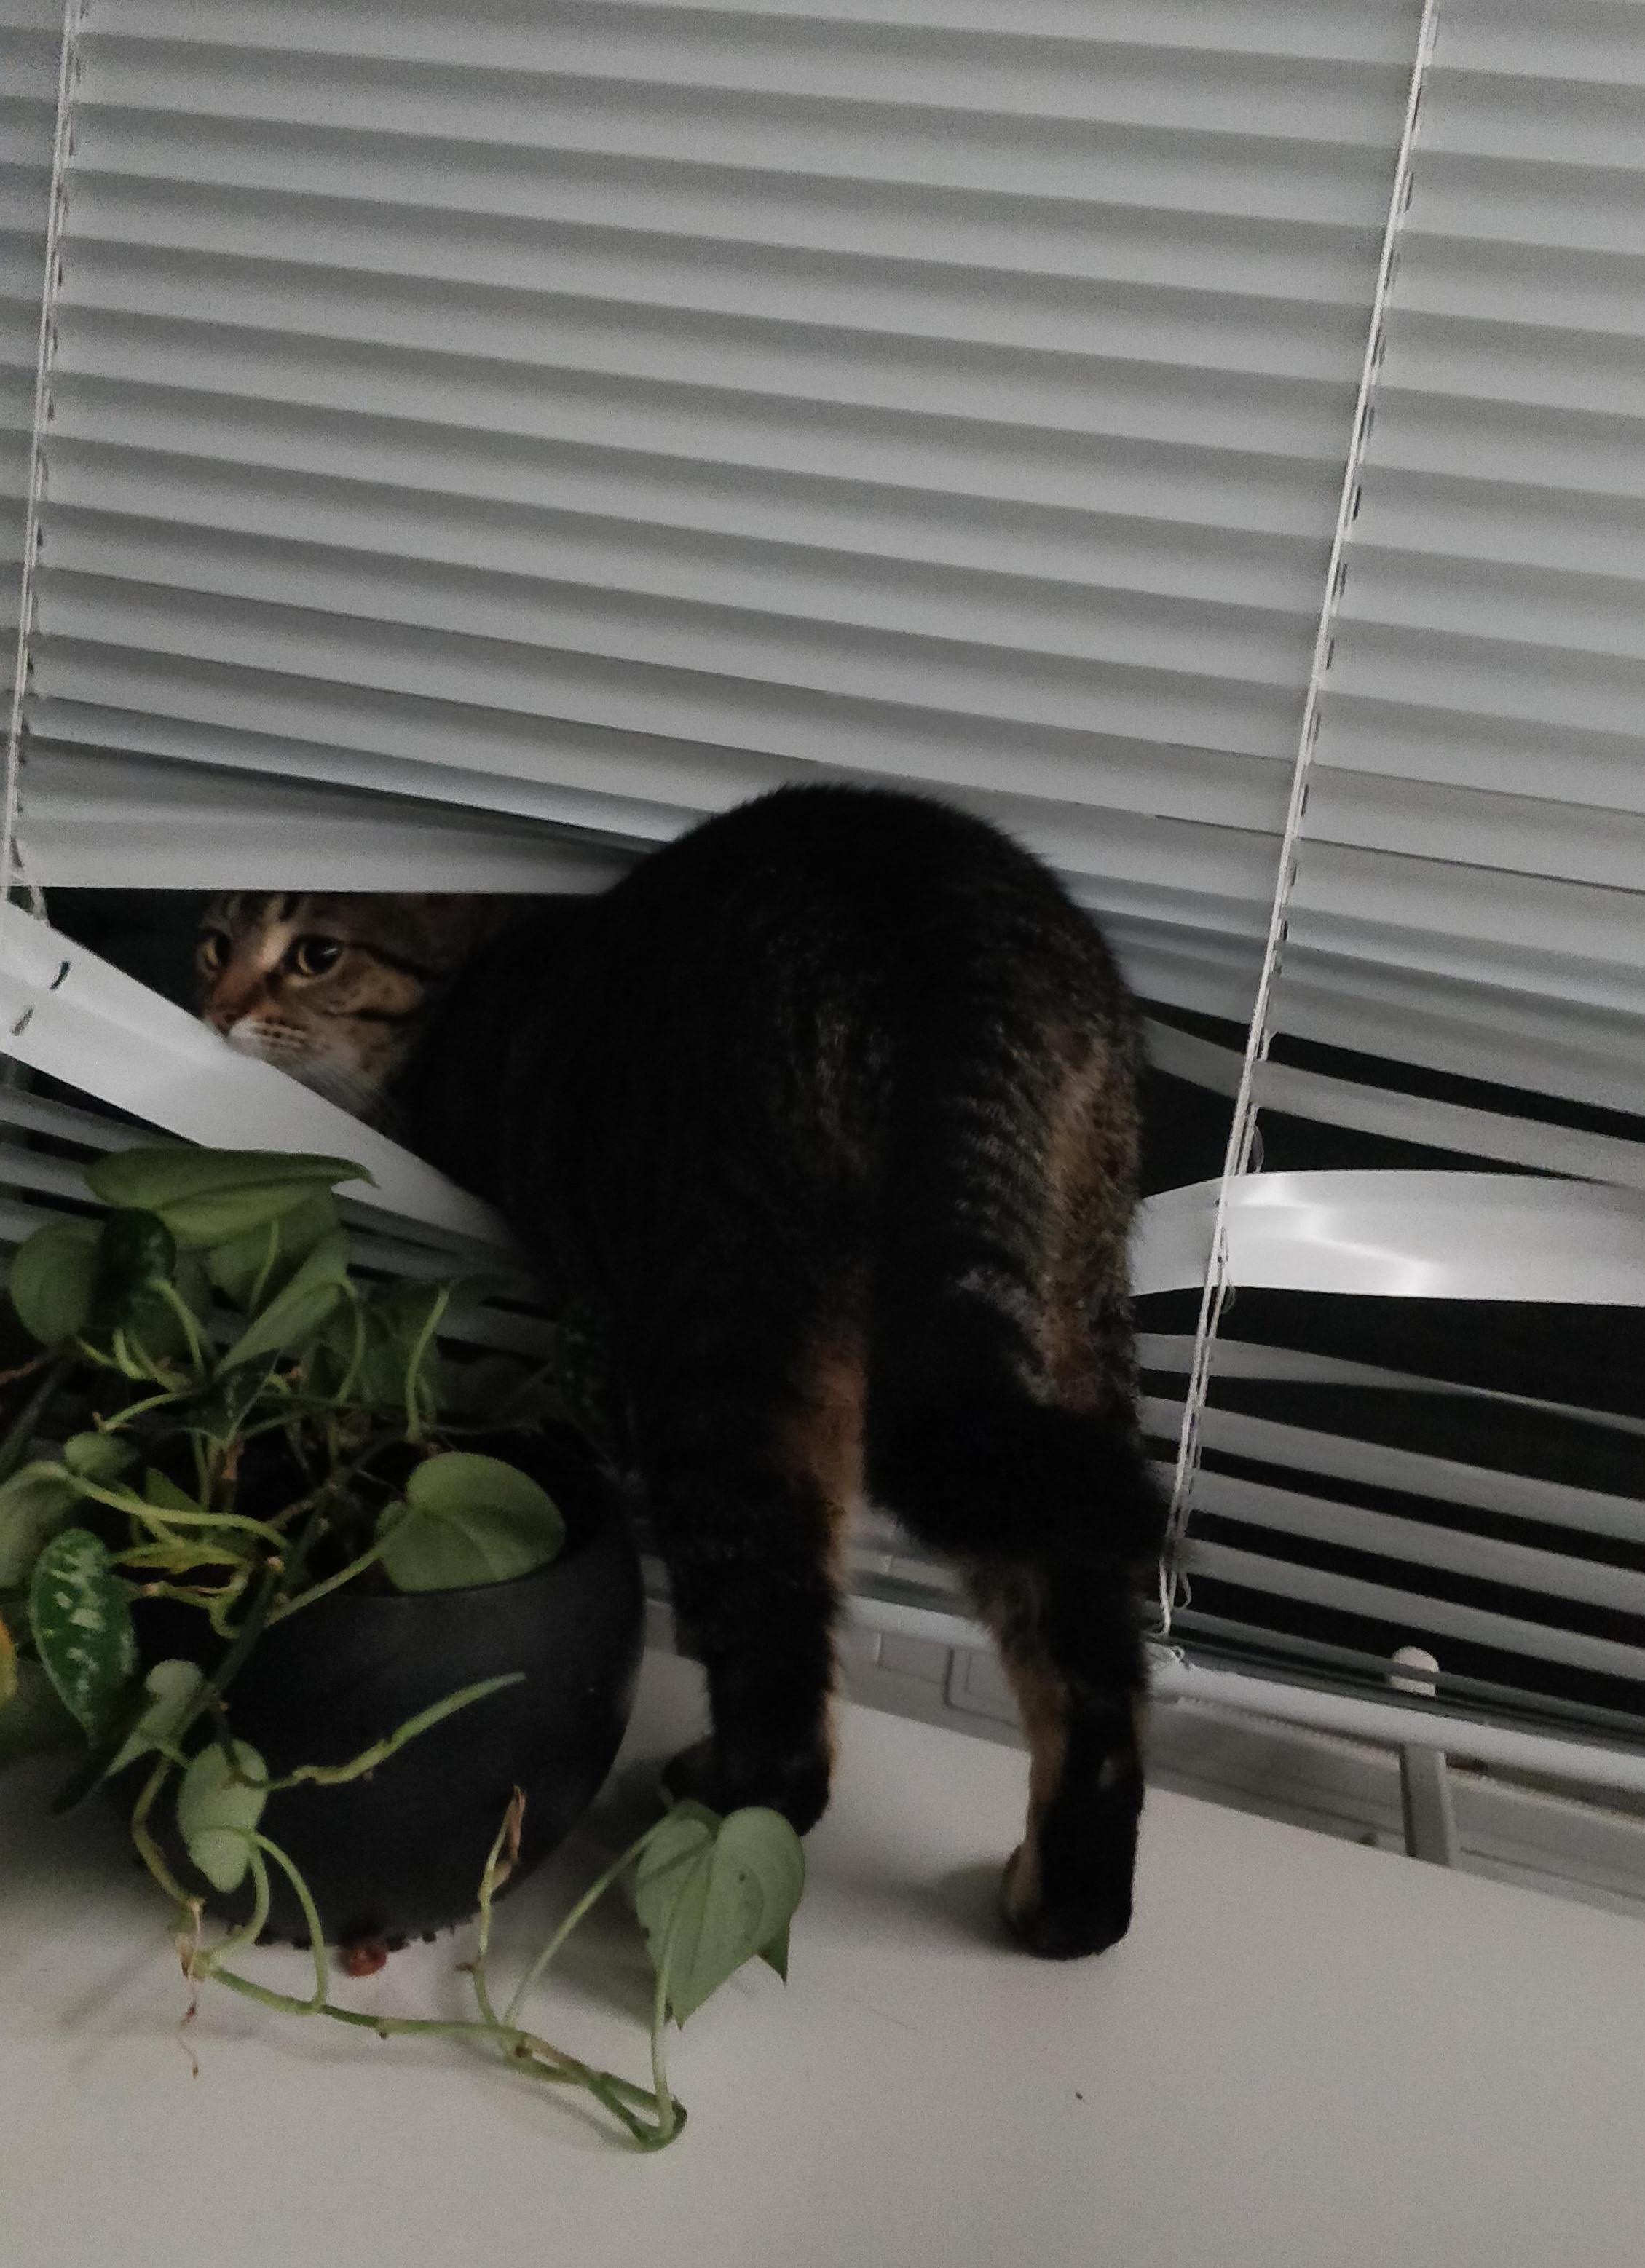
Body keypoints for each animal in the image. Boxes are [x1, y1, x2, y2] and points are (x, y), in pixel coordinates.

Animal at [196, 789, 1170, 1959]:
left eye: (317, 953)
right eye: (213, 941)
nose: (214, 1008)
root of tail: (935, 910)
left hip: (723, 1356)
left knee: (788, 1712)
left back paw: (709, 1804)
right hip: (1069, 1322)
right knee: (1087, 1642)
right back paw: (1067, 1904)